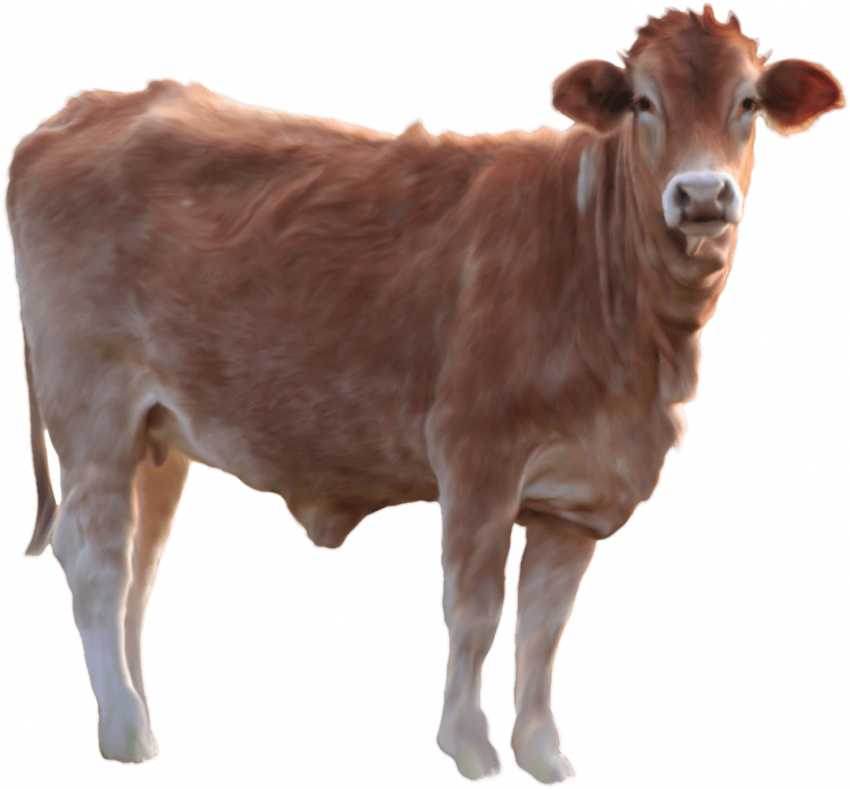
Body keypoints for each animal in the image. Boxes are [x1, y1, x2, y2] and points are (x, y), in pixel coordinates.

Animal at [3, 3, 846, 785]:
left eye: (747, 101)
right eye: (644, 101)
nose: (701, 195)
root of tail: (82, 112)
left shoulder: (580, 492)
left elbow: (543, 626)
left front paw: (544, 755)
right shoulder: (478, 452)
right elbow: (477, 608)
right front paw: (470, 747)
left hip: (157, 433)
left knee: (137, 567)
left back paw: (138, 717)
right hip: (95, 409)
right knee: (97, 559)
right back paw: (126, 730)